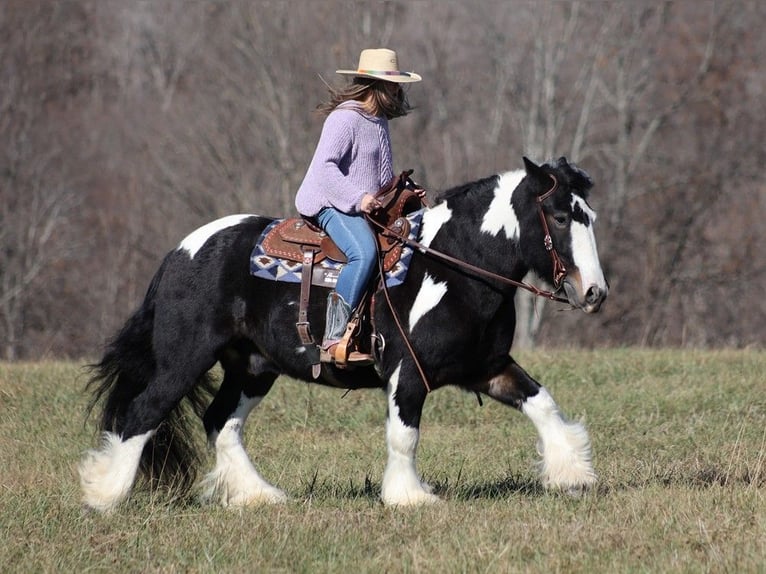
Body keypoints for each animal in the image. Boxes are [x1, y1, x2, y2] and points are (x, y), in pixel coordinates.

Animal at [82, 155, 612, 510]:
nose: (594, 293)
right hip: (185, 358)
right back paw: (106, 495)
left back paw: (260, 495)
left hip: (252, 366)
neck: (455, 266)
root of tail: (179, 253)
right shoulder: (407, 372)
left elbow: (543, 404)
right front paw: (409, 497)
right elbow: (404, 436)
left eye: (589, 216)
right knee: (144, 412)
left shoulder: (487, 367)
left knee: (221, 421)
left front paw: (572, 475)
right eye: (560, 216)